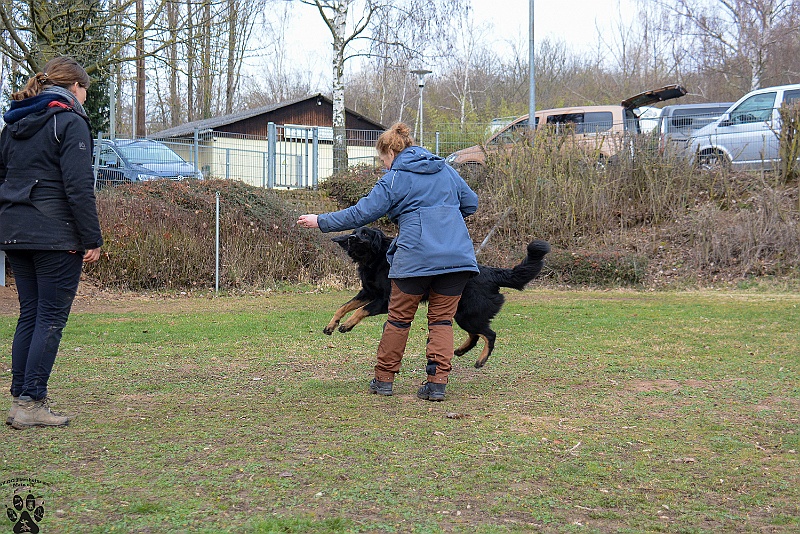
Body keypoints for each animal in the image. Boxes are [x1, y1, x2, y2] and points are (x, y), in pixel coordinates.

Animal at [324, 226, 550, 368]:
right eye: (354, 232)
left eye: (365, 233)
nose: (350, 238)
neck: (375, 259)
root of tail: (493, 273)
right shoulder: (368, 293)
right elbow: (344, 306)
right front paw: (332, 324)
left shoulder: (386, 300)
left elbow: (361, 310)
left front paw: (347, 325)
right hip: (463, 314)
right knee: (477, 335)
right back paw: (460, 350)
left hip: (468, 315)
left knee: (489, 335)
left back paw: (481, 360)